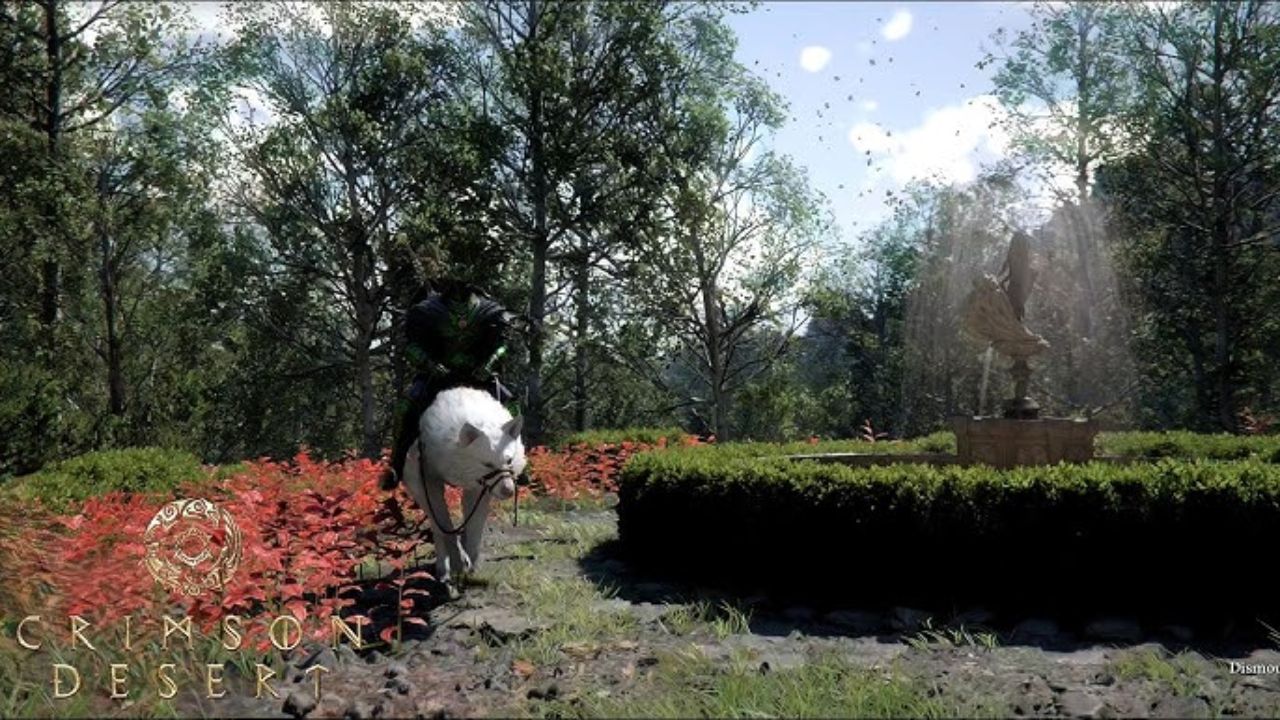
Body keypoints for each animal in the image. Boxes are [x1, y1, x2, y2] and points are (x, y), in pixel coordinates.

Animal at [400, 387, 524, 586]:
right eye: (487, 464)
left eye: (509, 461)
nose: (508, 491)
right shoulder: (428, 485)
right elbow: (447, 529)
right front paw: (459, 562)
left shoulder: (478, 490)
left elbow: (475, 530)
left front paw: (472, 565)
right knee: (437, 529)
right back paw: (443, 570)